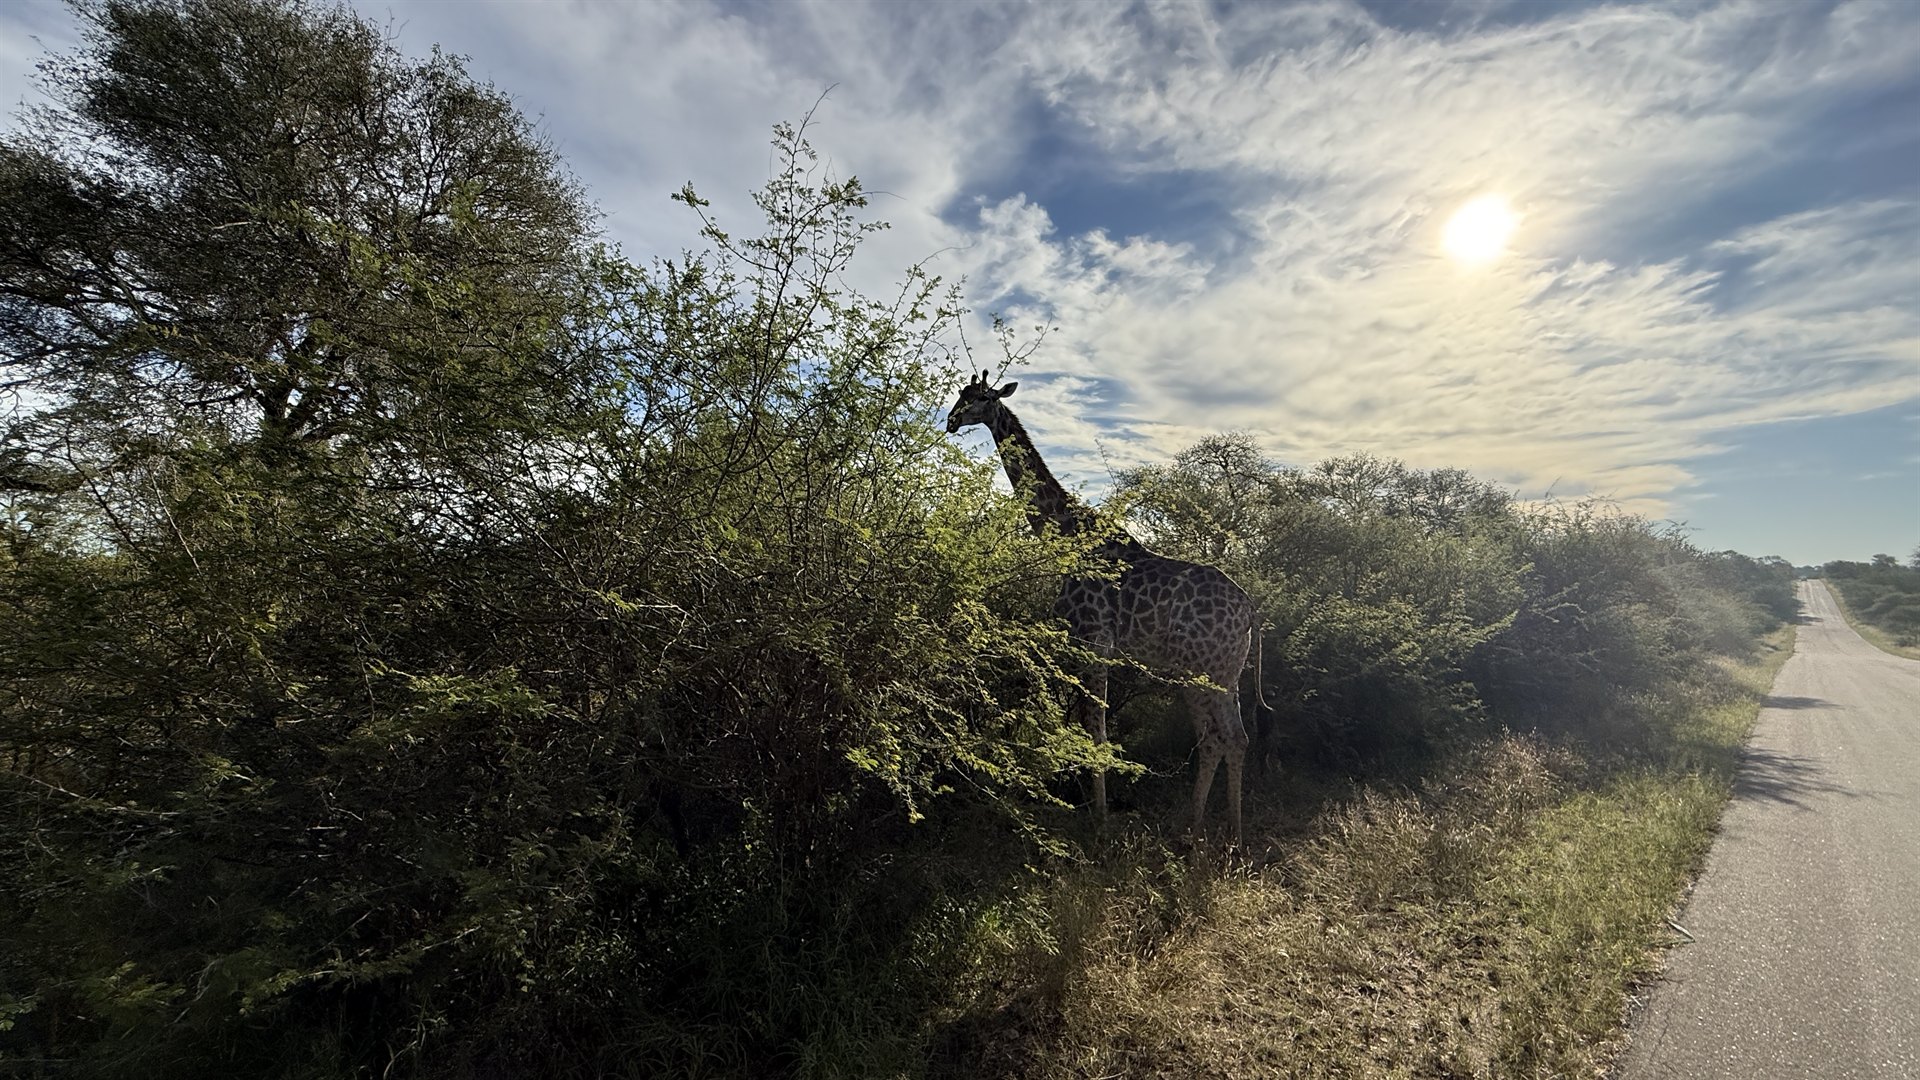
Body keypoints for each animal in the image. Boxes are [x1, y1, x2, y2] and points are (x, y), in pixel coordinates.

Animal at [945, 372, 1265, 845]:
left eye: (981, 397)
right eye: (961, 395)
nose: (950, 421)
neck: (1064, 534)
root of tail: (1249, 612)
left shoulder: (1093, 642)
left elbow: (1095, 732)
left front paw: (1100, 819)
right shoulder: (1088, 647)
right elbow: (1086, 728)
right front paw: (1091, 809)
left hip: (1199, 669)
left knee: (1218, 737)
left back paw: (1206, 833)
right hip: (1226, 671)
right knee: (1232, 737)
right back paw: (1223, 833)